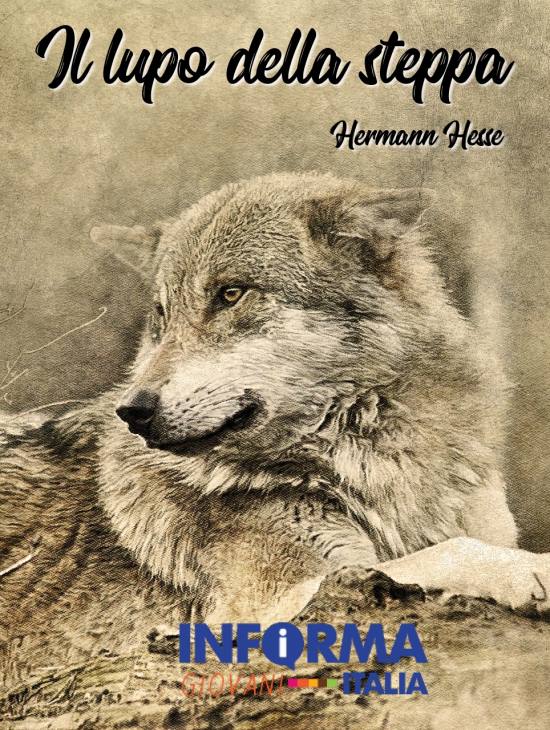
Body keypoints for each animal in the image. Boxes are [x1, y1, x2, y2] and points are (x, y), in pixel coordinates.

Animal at [1, 172, 549, 686]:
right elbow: (450, 550)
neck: (379, 461)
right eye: (162, 314)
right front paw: (532, 569)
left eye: (231, 294)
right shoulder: (272, 600)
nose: (131, 410)